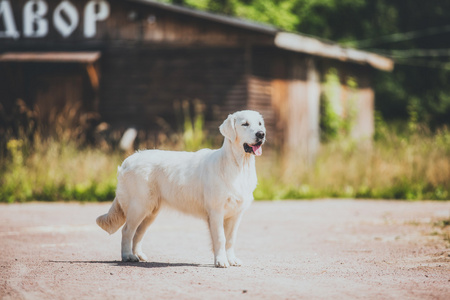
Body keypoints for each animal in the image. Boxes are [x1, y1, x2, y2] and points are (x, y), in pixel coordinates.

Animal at [96, 109, 266, 268]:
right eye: (245, 124)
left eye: (259, 124)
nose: (261, 134)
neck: (239, 166)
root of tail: (128, 160)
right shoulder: (216, 211)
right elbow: (220, 238)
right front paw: (221, 261)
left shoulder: (236, 213)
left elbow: (231, 239)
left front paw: (231, 260)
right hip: (139, 206)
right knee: (127, 231)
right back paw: (127, 256)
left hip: (151, 211)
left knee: (138, 233)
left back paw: (139, 255)